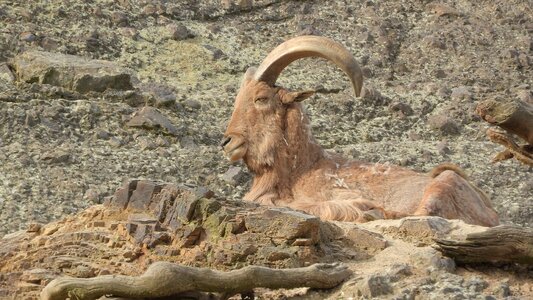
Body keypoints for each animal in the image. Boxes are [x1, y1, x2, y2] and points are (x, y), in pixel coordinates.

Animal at [219, 35, 498, 226]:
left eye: (261, 98)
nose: (227, 142)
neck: (302, 169)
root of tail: (491, 212)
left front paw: (361, 207)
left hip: (444, 184)